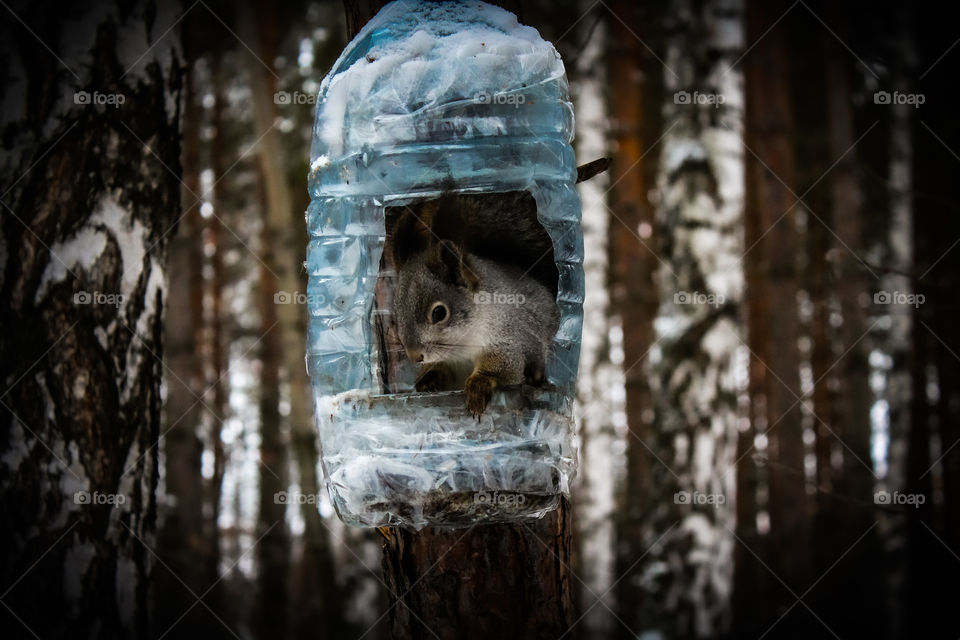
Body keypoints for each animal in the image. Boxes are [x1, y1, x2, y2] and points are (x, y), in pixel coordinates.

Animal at [387, 158, 611, 417]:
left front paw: (479, 385)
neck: (462, 345)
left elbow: (503, 367)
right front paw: (429, 378)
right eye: (395, 318)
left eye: (439, 313)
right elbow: (442, 369)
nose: (415, 357)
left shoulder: (508, 337)